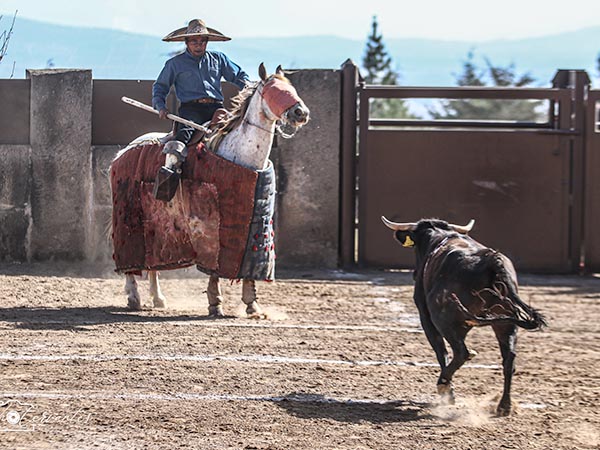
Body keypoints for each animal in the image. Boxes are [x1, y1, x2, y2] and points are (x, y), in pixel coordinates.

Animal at [110, 64, 312, 316]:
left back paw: (157, 297)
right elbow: (214, 264)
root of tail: (122, 152)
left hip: (154, 223)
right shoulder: (211, 226)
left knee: (152, 260)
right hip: (129, 218)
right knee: (131, 261)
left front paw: (252, 304)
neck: (241, 154)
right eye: (273, 91)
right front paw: (215, 302)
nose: (300, 113)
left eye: (291, 89)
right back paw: (134, 296)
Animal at [382, 216, 548, 416]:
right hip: (505, 324)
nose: (415, 274)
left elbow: (441, 352)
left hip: (443, 320)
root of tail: (491, 262)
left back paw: (444, 385)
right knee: (509, 360)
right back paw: (504, 406)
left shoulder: (426, 318)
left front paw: (449, 392)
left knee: (461, 352)